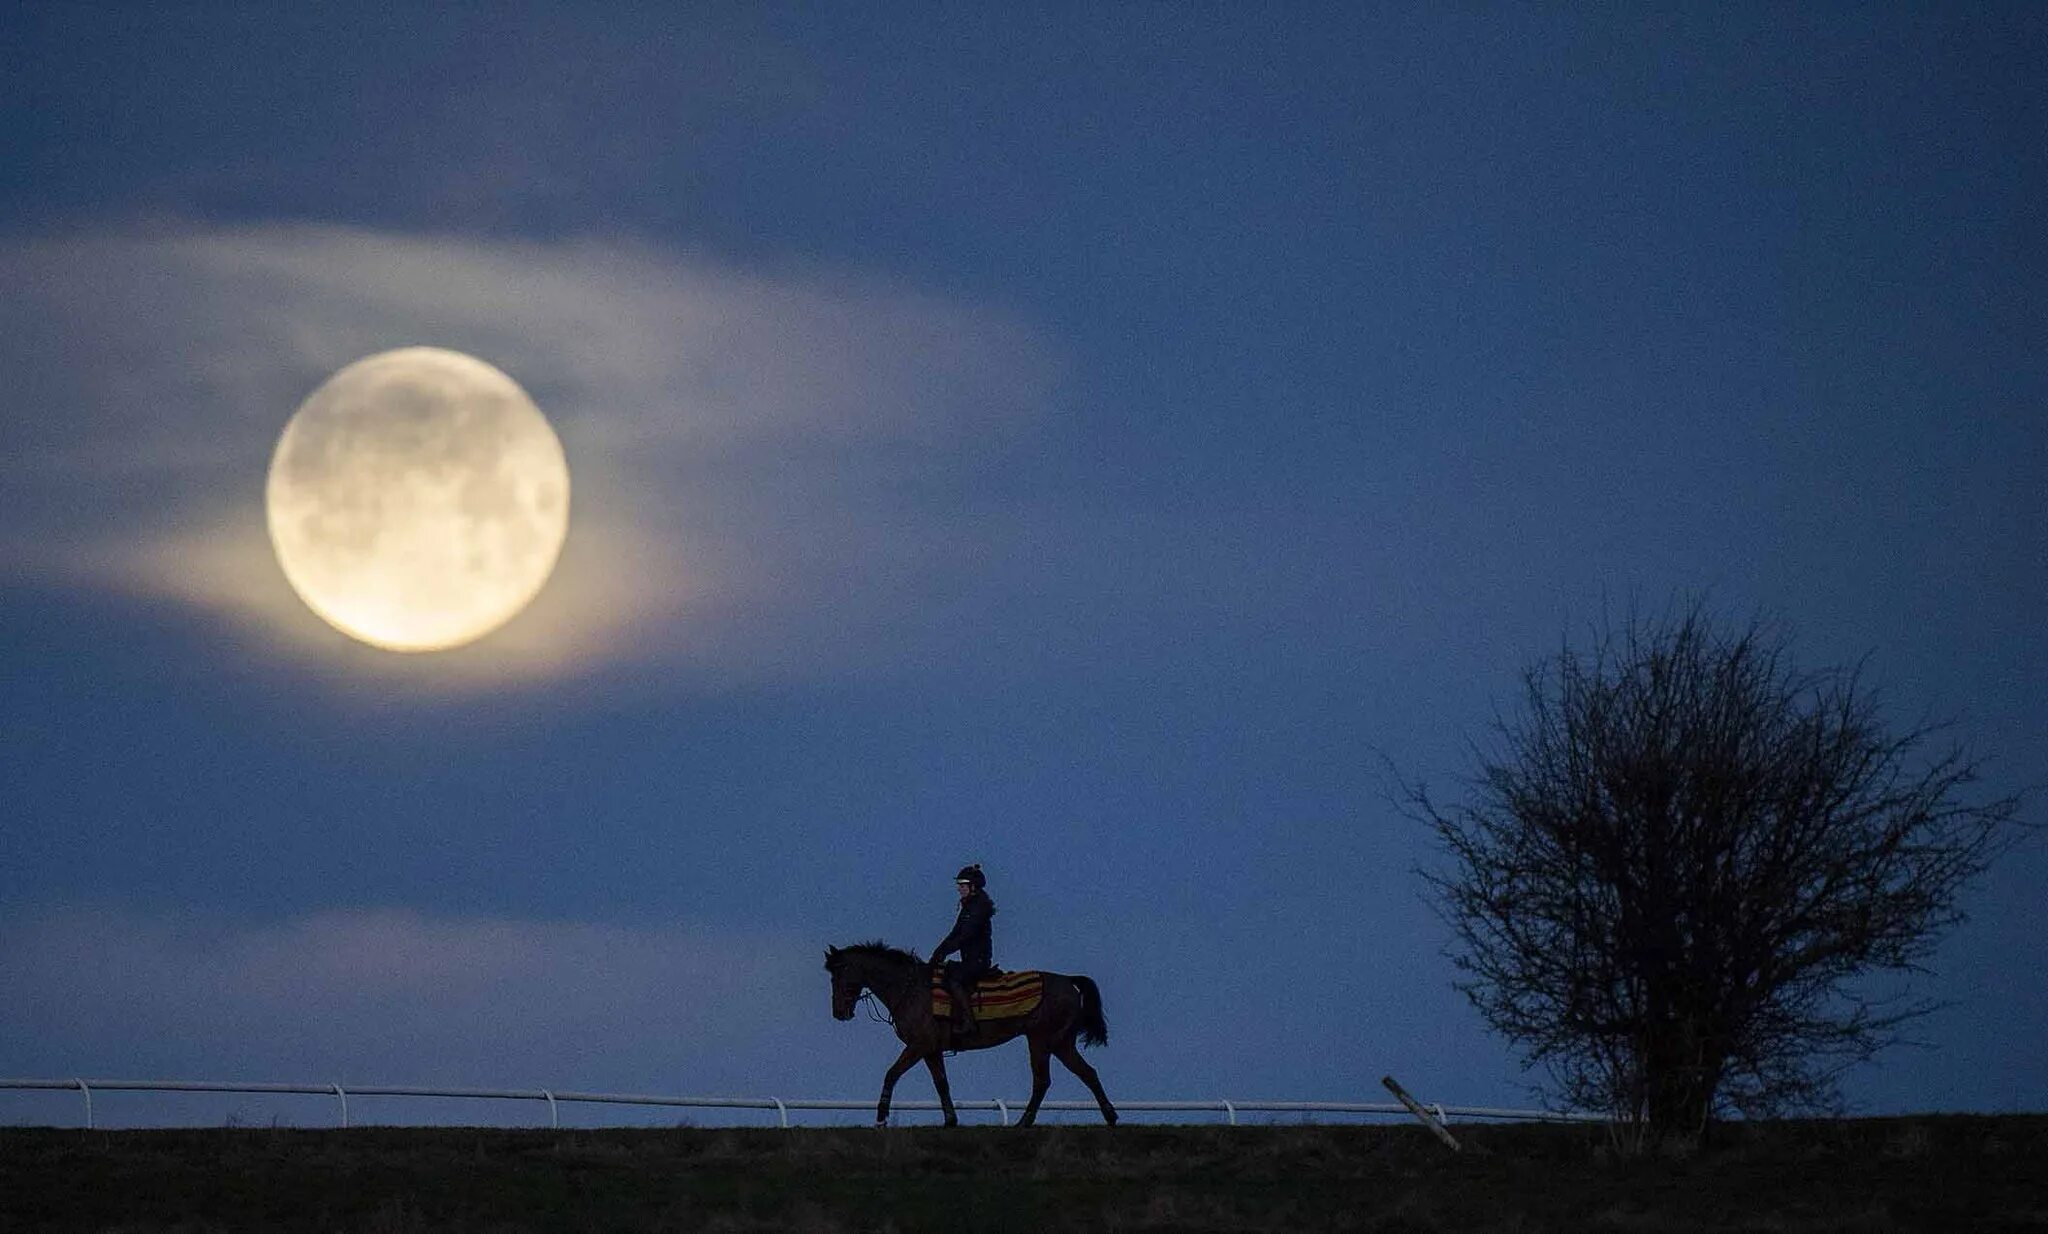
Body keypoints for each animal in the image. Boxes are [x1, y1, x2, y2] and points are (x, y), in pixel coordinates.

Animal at [819, 941, 1122, 1121]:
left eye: (839, 973)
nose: (839, 1012)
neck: (911, 989)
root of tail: (1068, 981)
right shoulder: (931, 1050)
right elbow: (942, 1083)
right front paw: (951, 1121)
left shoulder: (918, 1045)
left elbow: (892, 1073)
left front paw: (881, 1115)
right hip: (1060, 1043)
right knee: (1087, 1073)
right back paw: (1110, 1116)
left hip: (1040, 1040)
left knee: (1042, 1081)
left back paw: (1024, 1122)